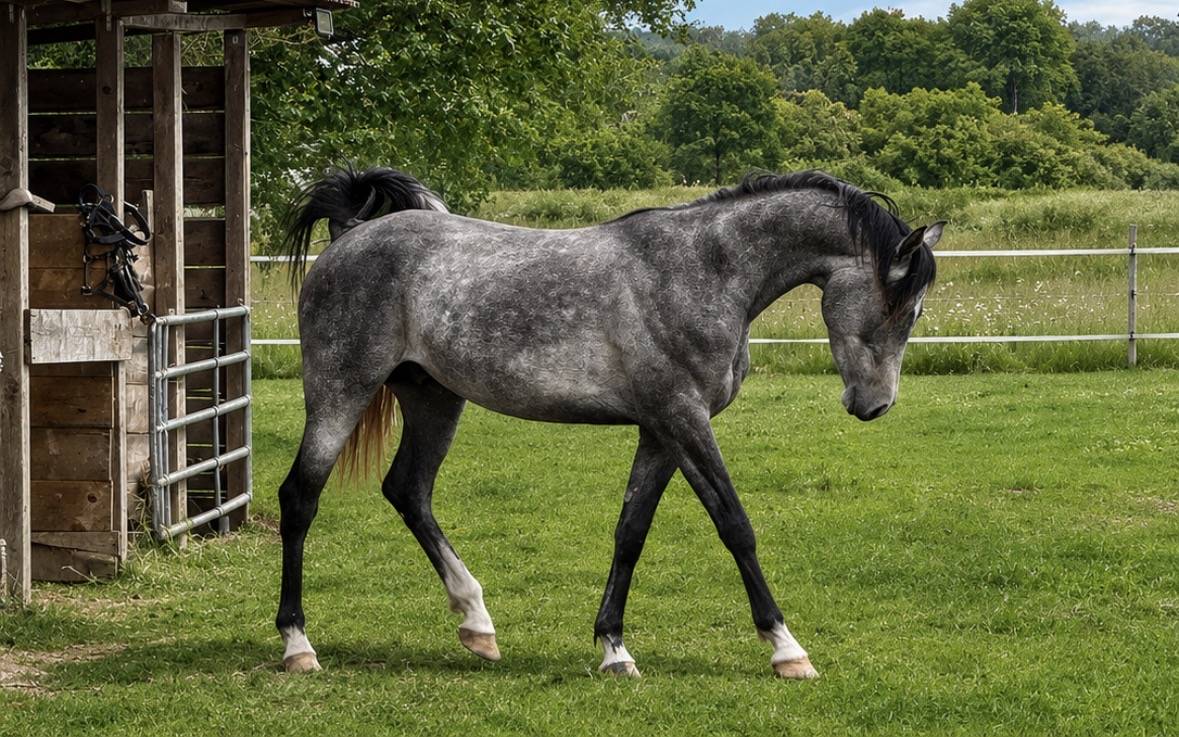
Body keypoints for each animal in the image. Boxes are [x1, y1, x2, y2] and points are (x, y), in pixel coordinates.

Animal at [274, 166, 942, 679]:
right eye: (902, 307)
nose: (874, 405)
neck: (703, 271)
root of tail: (351, 235)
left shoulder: (660, 431)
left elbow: (631, 532)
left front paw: (614, 650)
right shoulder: (683, 419)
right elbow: (735, 526)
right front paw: (786, 650)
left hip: (434, 400)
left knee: (409, 491)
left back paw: (477, 624)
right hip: (340, 392)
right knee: (300, 498)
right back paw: (298, 646)